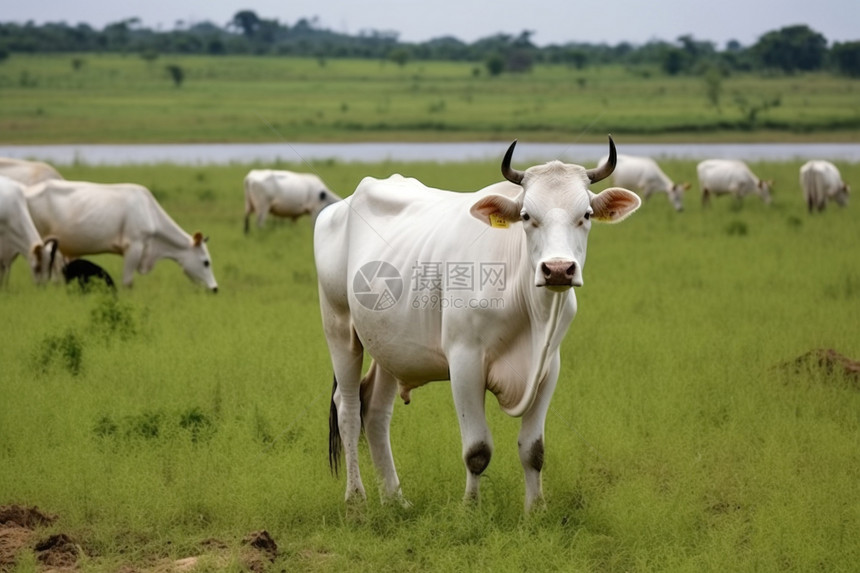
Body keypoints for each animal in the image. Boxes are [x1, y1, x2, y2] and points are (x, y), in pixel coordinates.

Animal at [314, 137, 640, 510]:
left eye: (585, 215)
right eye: (526, 216)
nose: (558, 269)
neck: (531, 312)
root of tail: (338, 207)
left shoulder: (549, 367)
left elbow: (534, 450)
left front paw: (536, 510)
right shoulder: (465, 362)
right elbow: (477, 451)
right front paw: (470, 509)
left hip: (388, 347)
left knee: (375, 411)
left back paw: (395, 499)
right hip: (340, 327)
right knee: (349, 409)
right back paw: (356, 500)